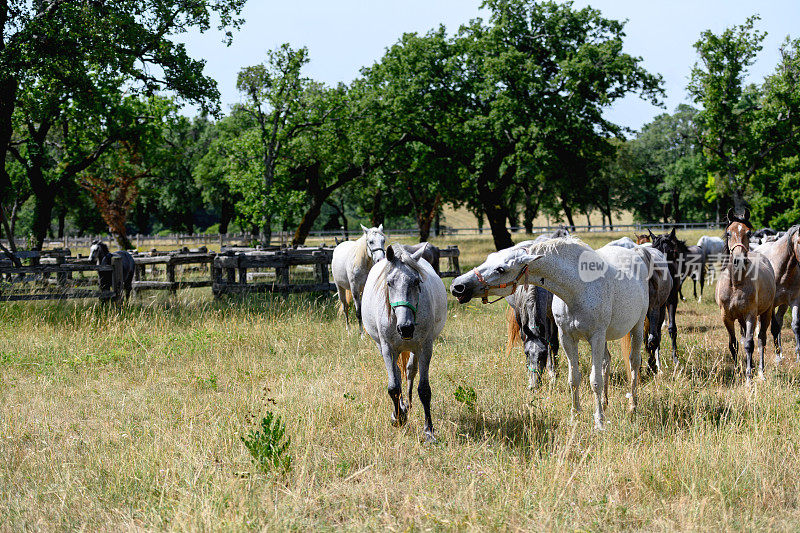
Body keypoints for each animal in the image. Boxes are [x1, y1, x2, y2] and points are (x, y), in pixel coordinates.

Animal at [450, 237, 648, 428]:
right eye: (489, 258)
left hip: (636, 328)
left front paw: (599, 422)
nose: (457, 286)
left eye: (501, 269)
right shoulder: (567, 338)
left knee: (634, 362)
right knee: (607, 361)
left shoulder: (596, 337)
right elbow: (574, 378)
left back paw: (633, 406)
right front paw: (575, 417)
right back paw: (605, 403)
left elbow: (595, 381)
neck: (579, 288)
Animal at [712, 209, 776, 382]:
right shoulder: (726, 317)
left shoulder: (750, 316)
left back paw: (760, 372)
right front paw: (736, 372)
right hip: (740, 318)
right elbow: (733, 344)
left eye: (749, 233)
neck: (736, 284)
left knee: (761, 340)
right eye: (728, 233)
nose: (739, 260)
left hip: (766, 313)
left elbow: (749, 344)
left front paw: (748, 378)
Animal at [756, 224, 800, 362]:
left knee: (779, 320)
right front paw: (777, 359)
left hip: (783, 304)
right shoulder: (771, 304)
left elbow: (795, 325)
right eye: (799, 242)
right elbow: (774, 328)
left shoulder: (794, 301)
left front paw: (798, 356)